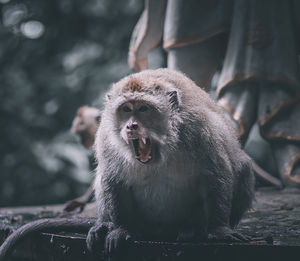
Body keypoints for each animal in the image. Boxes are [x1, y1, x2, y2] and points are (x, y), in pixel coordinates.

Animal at [86, 68, 255, 255]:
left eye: (143, 108)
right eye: (126, 109)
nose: (131, 126)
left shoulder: (200, 129)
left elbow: (217, 176)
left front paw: (219, 230)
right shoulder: (106, 137)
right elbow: (113, 180)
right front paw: (121, 229)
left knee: (244, 169)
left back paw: (193, 230)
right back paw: (105, 224)